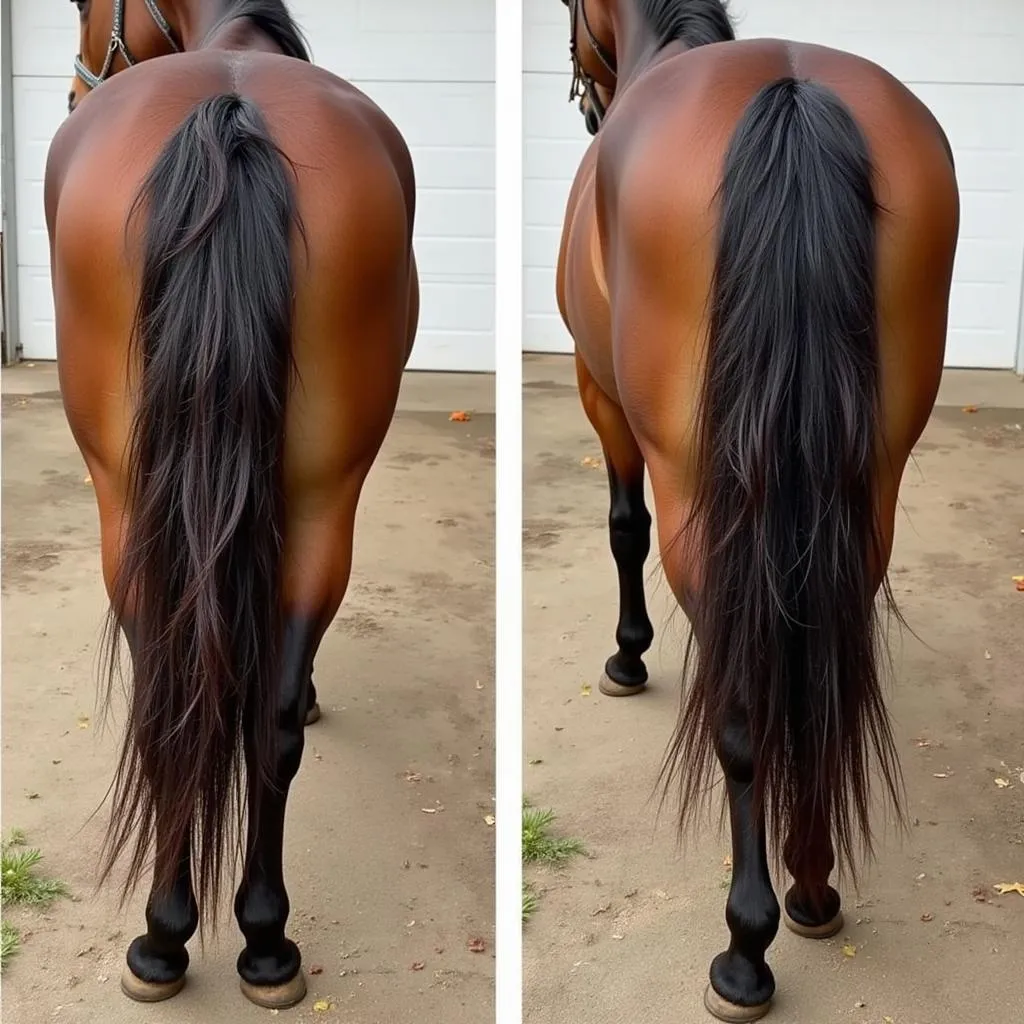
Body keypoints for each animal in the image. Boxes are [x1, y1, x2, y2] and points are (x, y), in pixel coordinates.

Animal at [44, 0, 417, 1007]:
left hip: (132, 499)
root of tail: (230, 118)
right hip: (321, 497)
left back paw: (170, 939)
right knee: (258, 719)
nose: (71, 92)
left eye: (82, 11)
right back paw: (259, 939)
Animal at [552, 2, 958, 1024]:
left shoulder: (599, 394)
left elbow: (622, 530)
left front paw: (627, 658)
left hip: (700, 490)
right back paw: (812, 885)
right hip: (867, 485)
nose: (583, 100)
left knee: (740, 706)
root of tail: (792, 91)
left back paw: (746, 946)